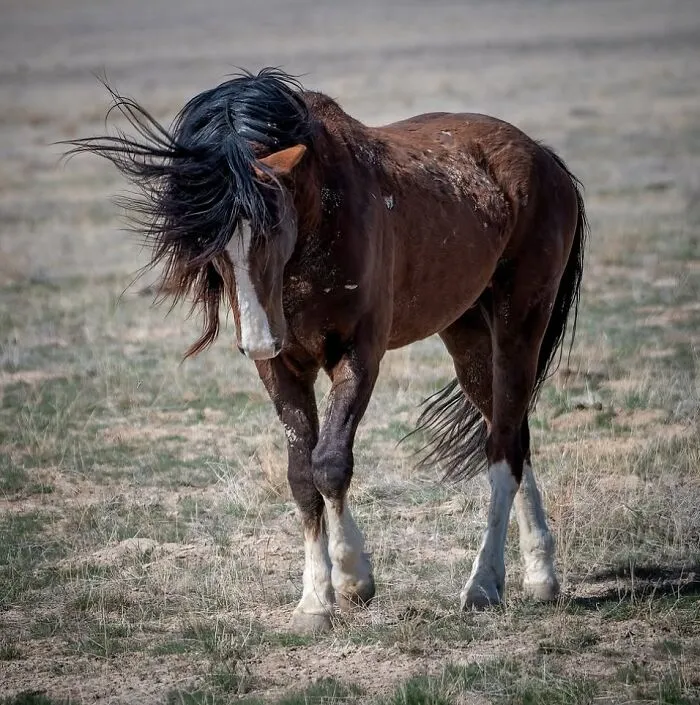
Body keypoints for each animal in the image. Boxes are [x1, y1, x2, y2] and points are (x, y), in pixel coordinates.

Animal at [64, 68, 587, 634]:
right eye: (210, 246)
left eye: (272, 227)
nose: (257, 339)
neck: (321, 221)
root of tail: (543, 158)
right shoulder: (282, 368)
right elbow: (300, 474)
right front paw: (315, 600)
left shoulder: (357, 357)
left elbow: (331, 462)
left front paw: (355, 579)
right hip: (467, 335)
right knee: (512, 435)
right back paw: (539, 576)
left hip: (519, 325)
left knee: (502, 445)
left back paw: (485, 585)